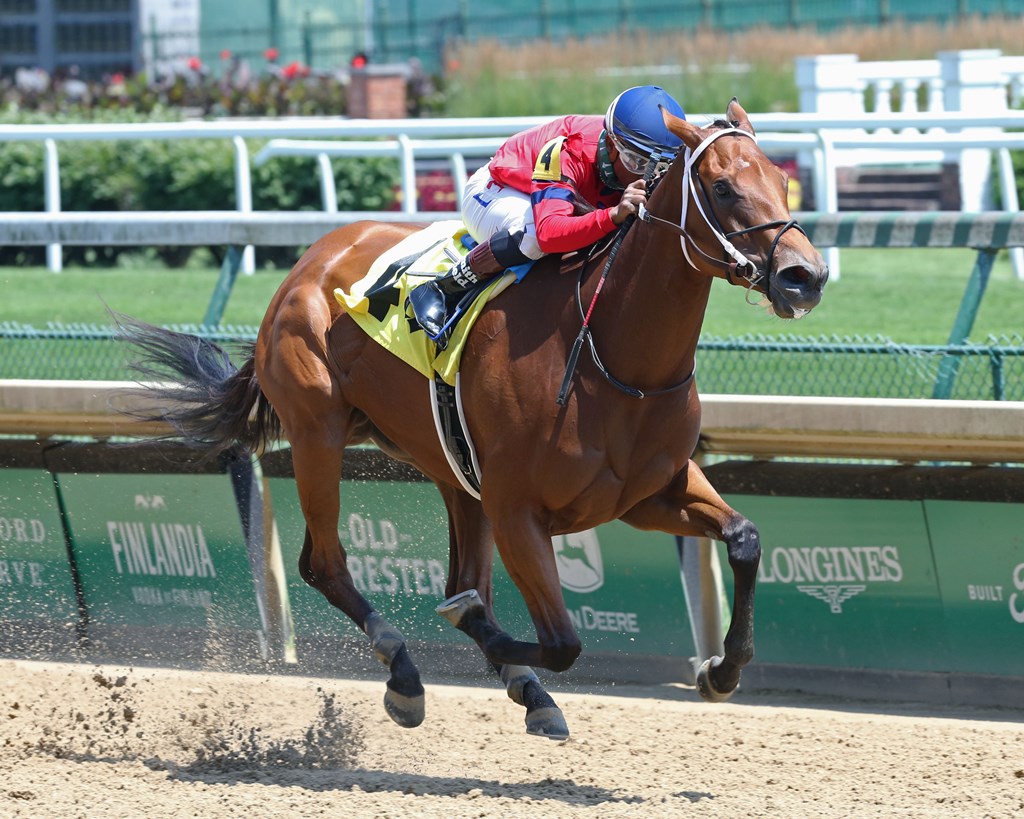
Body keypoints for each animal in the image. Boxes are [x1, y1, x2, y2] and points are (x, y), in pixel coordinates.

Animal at [117, 99, 828, 740]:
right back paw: (406, 676)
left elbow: (744, 539)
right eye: (722, 186)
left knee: (460, 573)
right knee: (326, 563)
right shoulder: (519, 511)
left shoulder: (648, 492)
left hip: (451, 467)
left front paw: (720, 671)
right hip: (318, 429)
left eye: (780, 177)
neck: (615, 356)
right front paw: (476, 634)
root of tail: (310, 259)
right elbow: (561, 639)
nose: (805, 275)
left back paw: (527, 691)